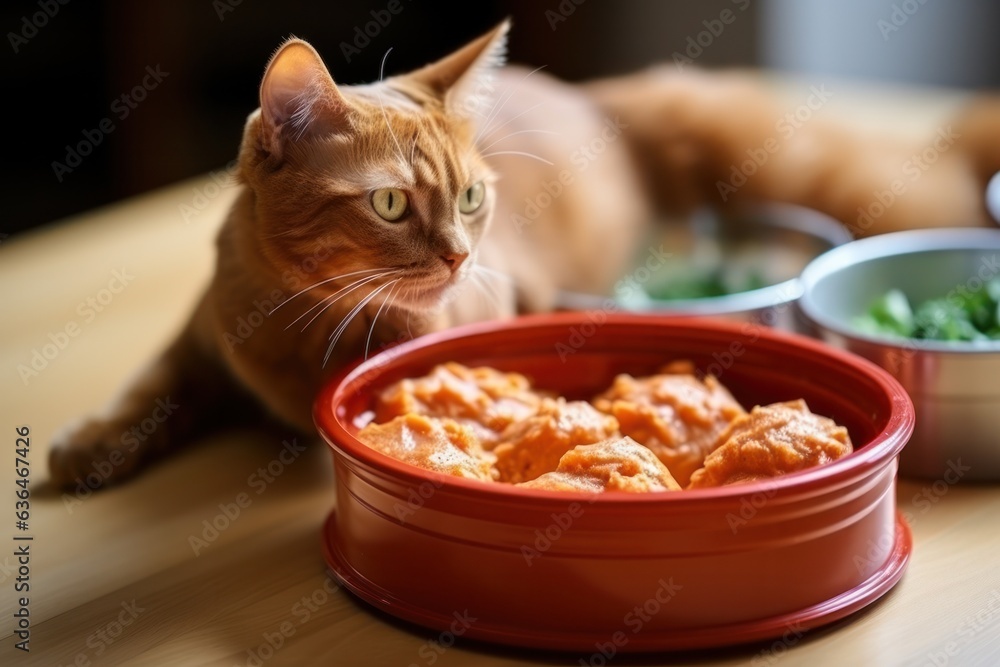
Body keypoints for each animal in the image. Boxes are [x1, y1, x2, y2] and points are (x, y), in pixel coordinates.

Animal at [50, 20, 1000, 488]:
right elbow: (149, 386)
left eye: (472, 196)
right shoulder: (203, 336)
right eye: (391, 203)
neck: (303, 326)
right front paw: (90, 444)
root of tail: (604, 95)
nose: (458, 257)